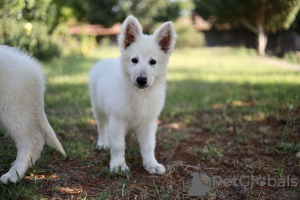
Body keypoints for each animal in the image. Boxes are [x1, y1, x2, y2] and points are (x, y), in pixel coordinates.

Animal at [0, 45, 65, 184]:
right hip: (23, 109)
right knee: (38, 137)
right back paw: (26, 167)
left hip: (11, 108)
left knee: (27, 142)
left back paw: (13, 175)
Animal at [88, 16, 176, 175]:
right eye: (134, 60)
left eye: (153, 62)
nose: (141, 80)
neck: (139, 94)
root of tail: (104, 61)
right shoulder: (117, 120)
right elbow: (118, 145)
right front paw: (118, 165)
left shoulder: (148, 122)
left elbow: (148, 146)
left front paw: (151, 164)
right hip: (98, 108)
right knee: (102, 127)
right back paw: (102, 143)